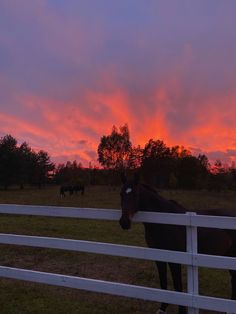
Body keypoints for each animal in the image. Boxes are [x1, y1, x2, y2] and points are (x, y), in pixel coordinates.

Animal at [119, 174, 236, 314]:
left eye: (135, 194)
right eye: (121, 194)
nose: (124, 222)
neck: (165, 222)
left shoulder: (176, 258)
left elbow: (178, 286)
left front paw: (181, 311)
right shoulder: (158, 256)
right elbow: (163, 283)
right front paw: (162, 308)